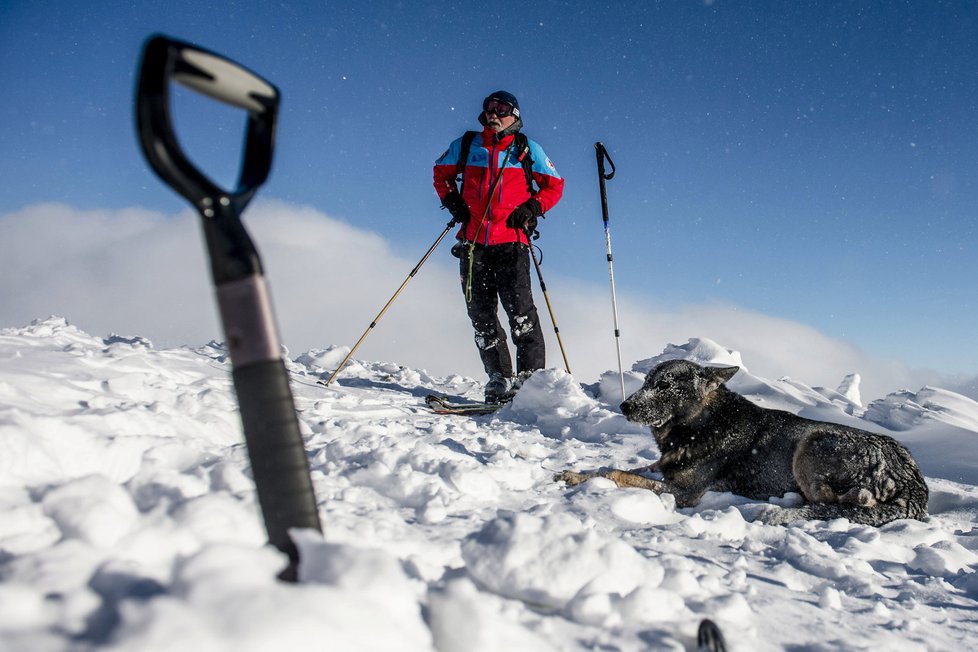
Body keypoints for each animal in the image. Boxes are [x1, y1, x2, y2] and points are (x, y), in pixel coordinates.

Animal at [552, 360, 928, 528]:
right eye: (646, 381)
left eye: (665, 385)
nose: (625, 406)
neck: (698, 425)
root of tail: (914, 482)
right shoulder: (663, 467)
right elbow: (612, 467)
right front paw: (576, 474)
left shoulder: (683, 492)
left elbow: (620, 474)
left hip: (813, 443)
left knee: (843, 505)